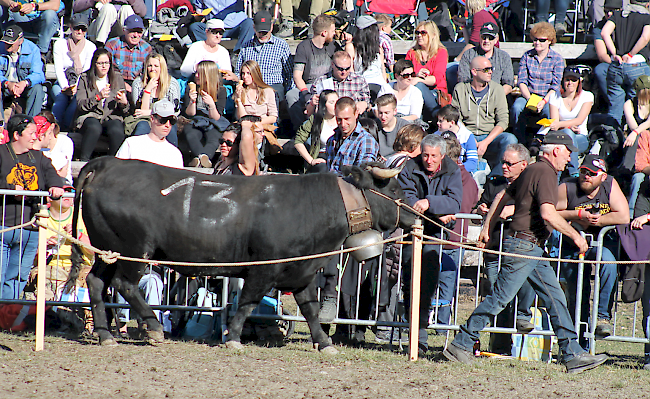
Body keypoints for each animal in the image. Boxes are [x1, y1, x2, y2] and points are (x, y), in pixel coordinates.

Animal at [68, 157, 412, 354]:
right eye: (394, 191)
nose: (414, 214)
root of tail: (107, 163)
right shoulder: (263, 269)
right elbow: (247, 302)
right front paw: (232, 336)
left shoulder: (300, 272)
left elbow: (311, 310)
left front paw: (324, 343)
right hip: (133, 250)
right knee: (125, 285)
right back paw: (153, 328)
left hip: (108, 250)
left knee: (96, 282)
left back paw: (105, 335)